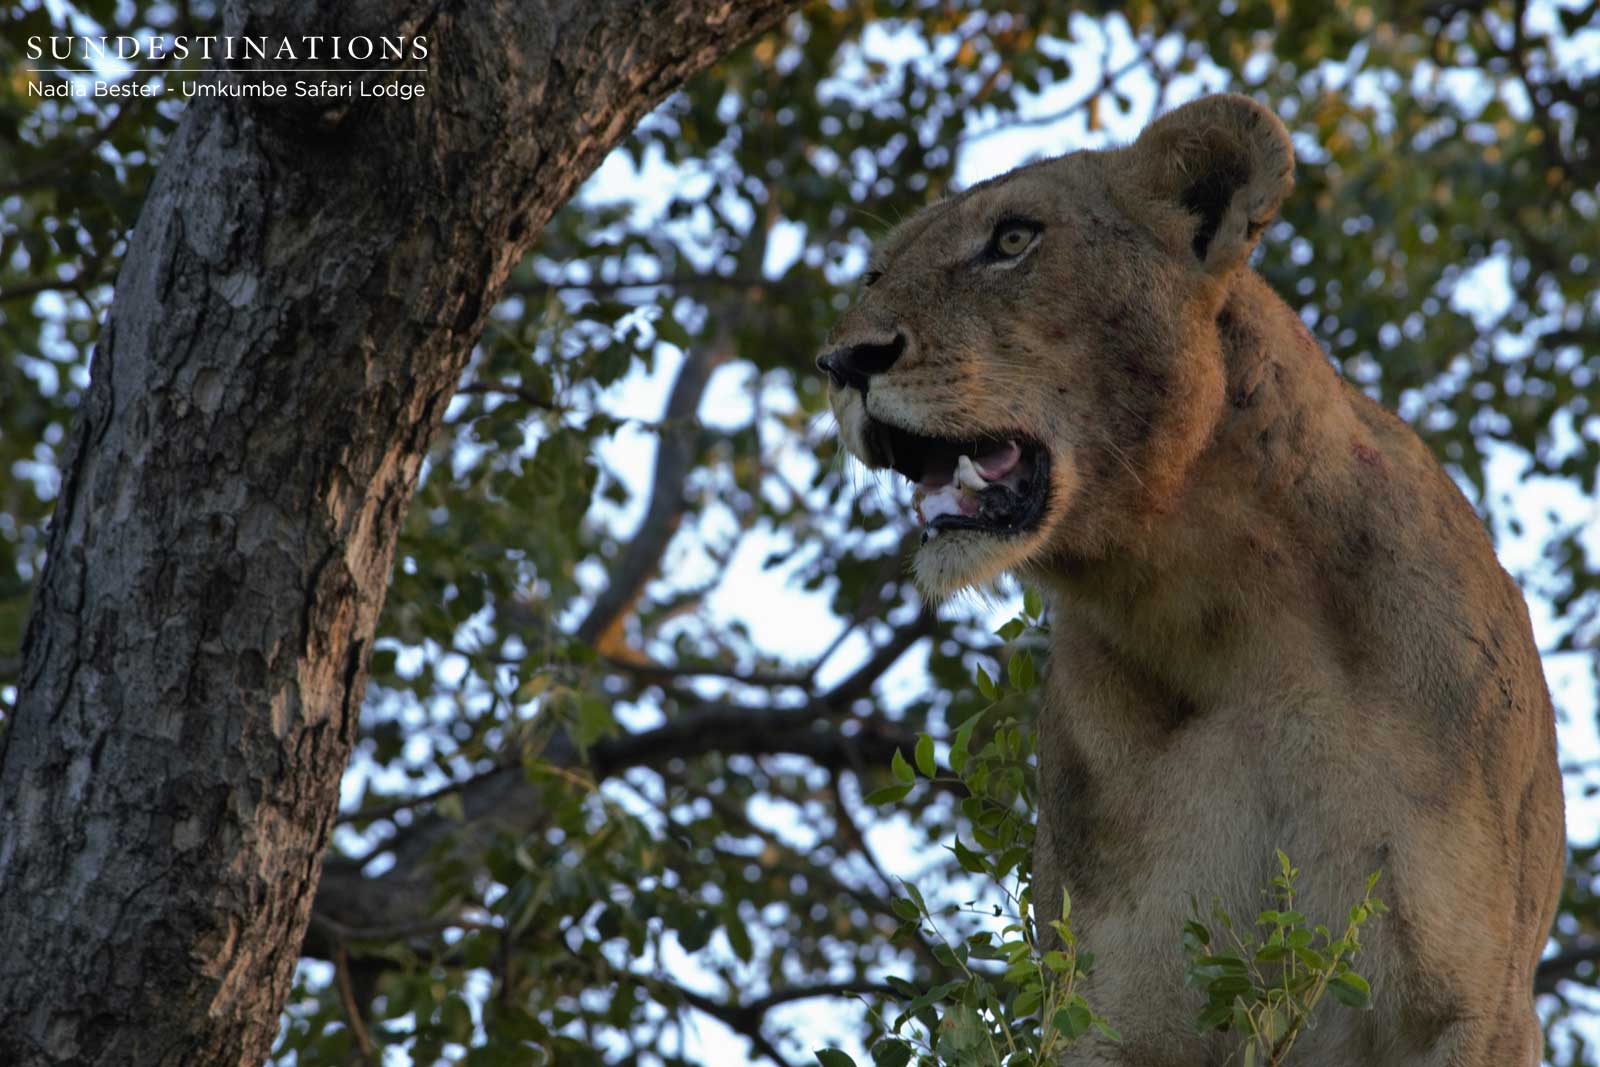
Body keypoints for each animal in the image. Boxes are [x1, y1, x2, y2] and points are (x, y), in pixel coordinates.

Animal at [817, 93, 1565, 1065]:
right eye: (874, 273)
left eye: (1013, 239)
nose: (842, 364)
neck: (1224, 616)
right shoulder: (1110, 1005)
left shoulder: (1475, 1003)